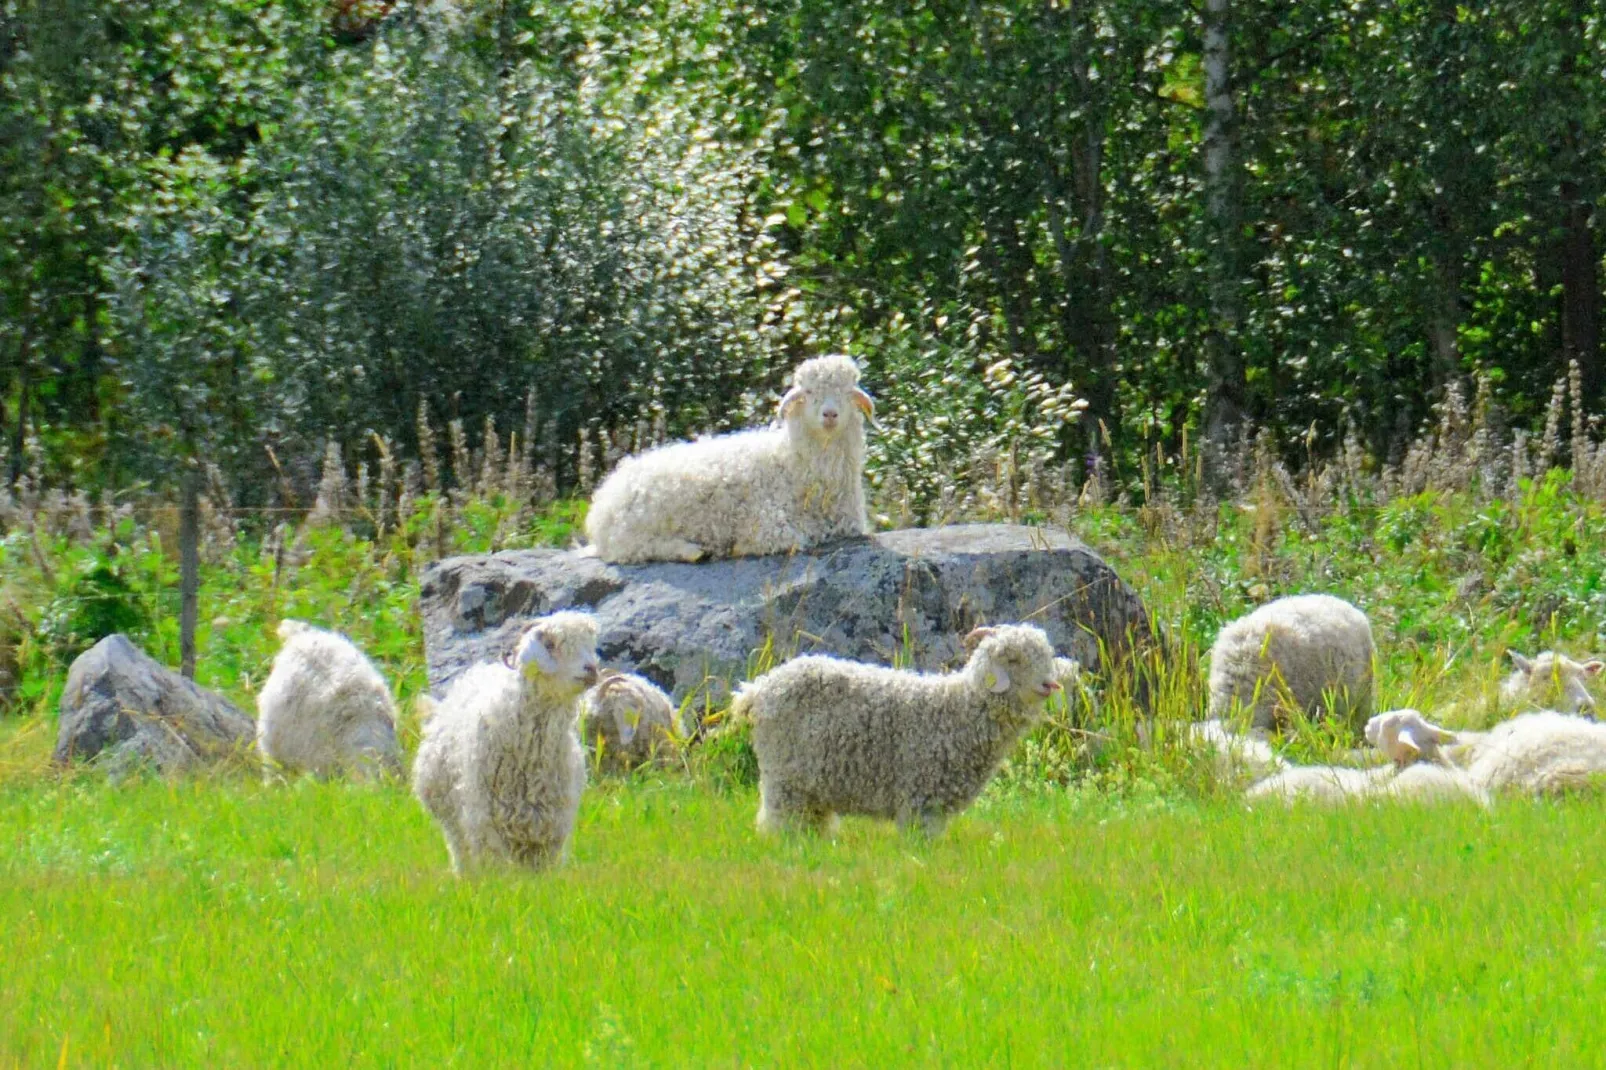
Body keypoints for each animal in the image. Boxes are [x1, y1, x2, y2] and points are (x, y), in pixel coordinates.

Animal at [414, 613, 603, 873]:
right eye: (551, 645)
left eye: (590, 644)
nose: (591, 669)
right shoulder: (486, 823)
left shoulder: (551, 825)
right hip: (453, 823)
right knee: (461, 851)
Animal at [584, 353, 873, 562]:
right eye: (810, 392)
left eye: (848, 393)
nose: (830, 414)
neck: (789, 463)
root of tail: (602, 503)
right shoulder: (765, 521)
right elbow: (785, 538)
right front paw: (739, 547)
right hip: (634, 527)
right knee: (631, 550)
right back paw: (692, 551)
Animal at [738, 620, 1066, 835]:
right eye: (1013, 659)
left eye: (1045, 655)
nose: (1048, 684)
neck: (958, 707)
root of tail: (757, 690)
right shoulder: (922, 800)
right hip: (785, 779)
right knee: (778, 822)